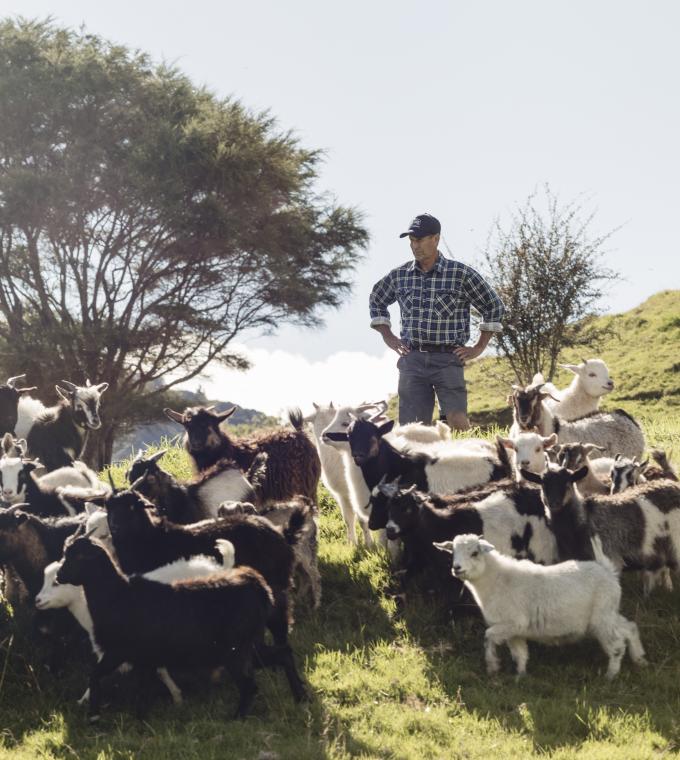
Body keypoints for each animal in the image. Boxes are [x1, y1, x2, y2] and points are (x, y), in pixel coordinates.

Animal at [432, 536, 644, 676]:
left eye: (474, 553)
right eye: (453, 552)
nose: (456, 568)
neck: (496, 580)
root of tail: (607, 570)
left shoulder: (513, 622)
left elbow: (488, 636)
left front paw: (492, 667)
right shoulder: (515, 630)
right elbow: (520, 654)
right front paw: (520, 676)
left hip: (601, 618)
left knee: (617, 645)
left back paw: (611, 675)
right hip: (608, 612)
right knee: (630, 627)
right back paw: (640, 659)